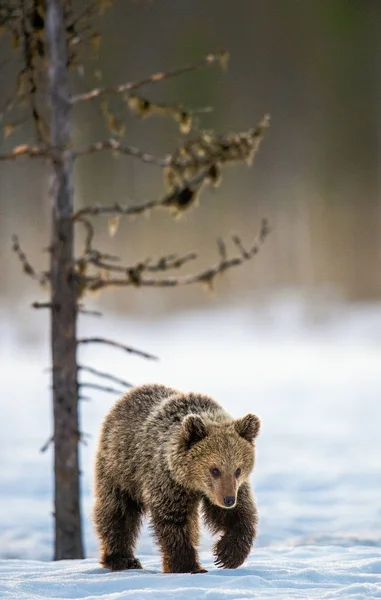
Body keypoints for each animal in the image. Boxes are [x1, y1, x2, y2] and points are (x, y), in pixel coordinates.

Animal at [93, 382, 260, 576]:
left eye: (238, 470)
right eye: (214, 470)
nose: (228, 500)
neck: (191, 482)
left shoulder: (231, 488)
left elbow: (239, 514)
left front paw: (227, 554)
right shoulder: (168, 482)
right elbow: (175, 521)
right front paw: (187, 566)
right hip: (120, 469)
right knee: (118, 511)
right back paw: (122, 559)